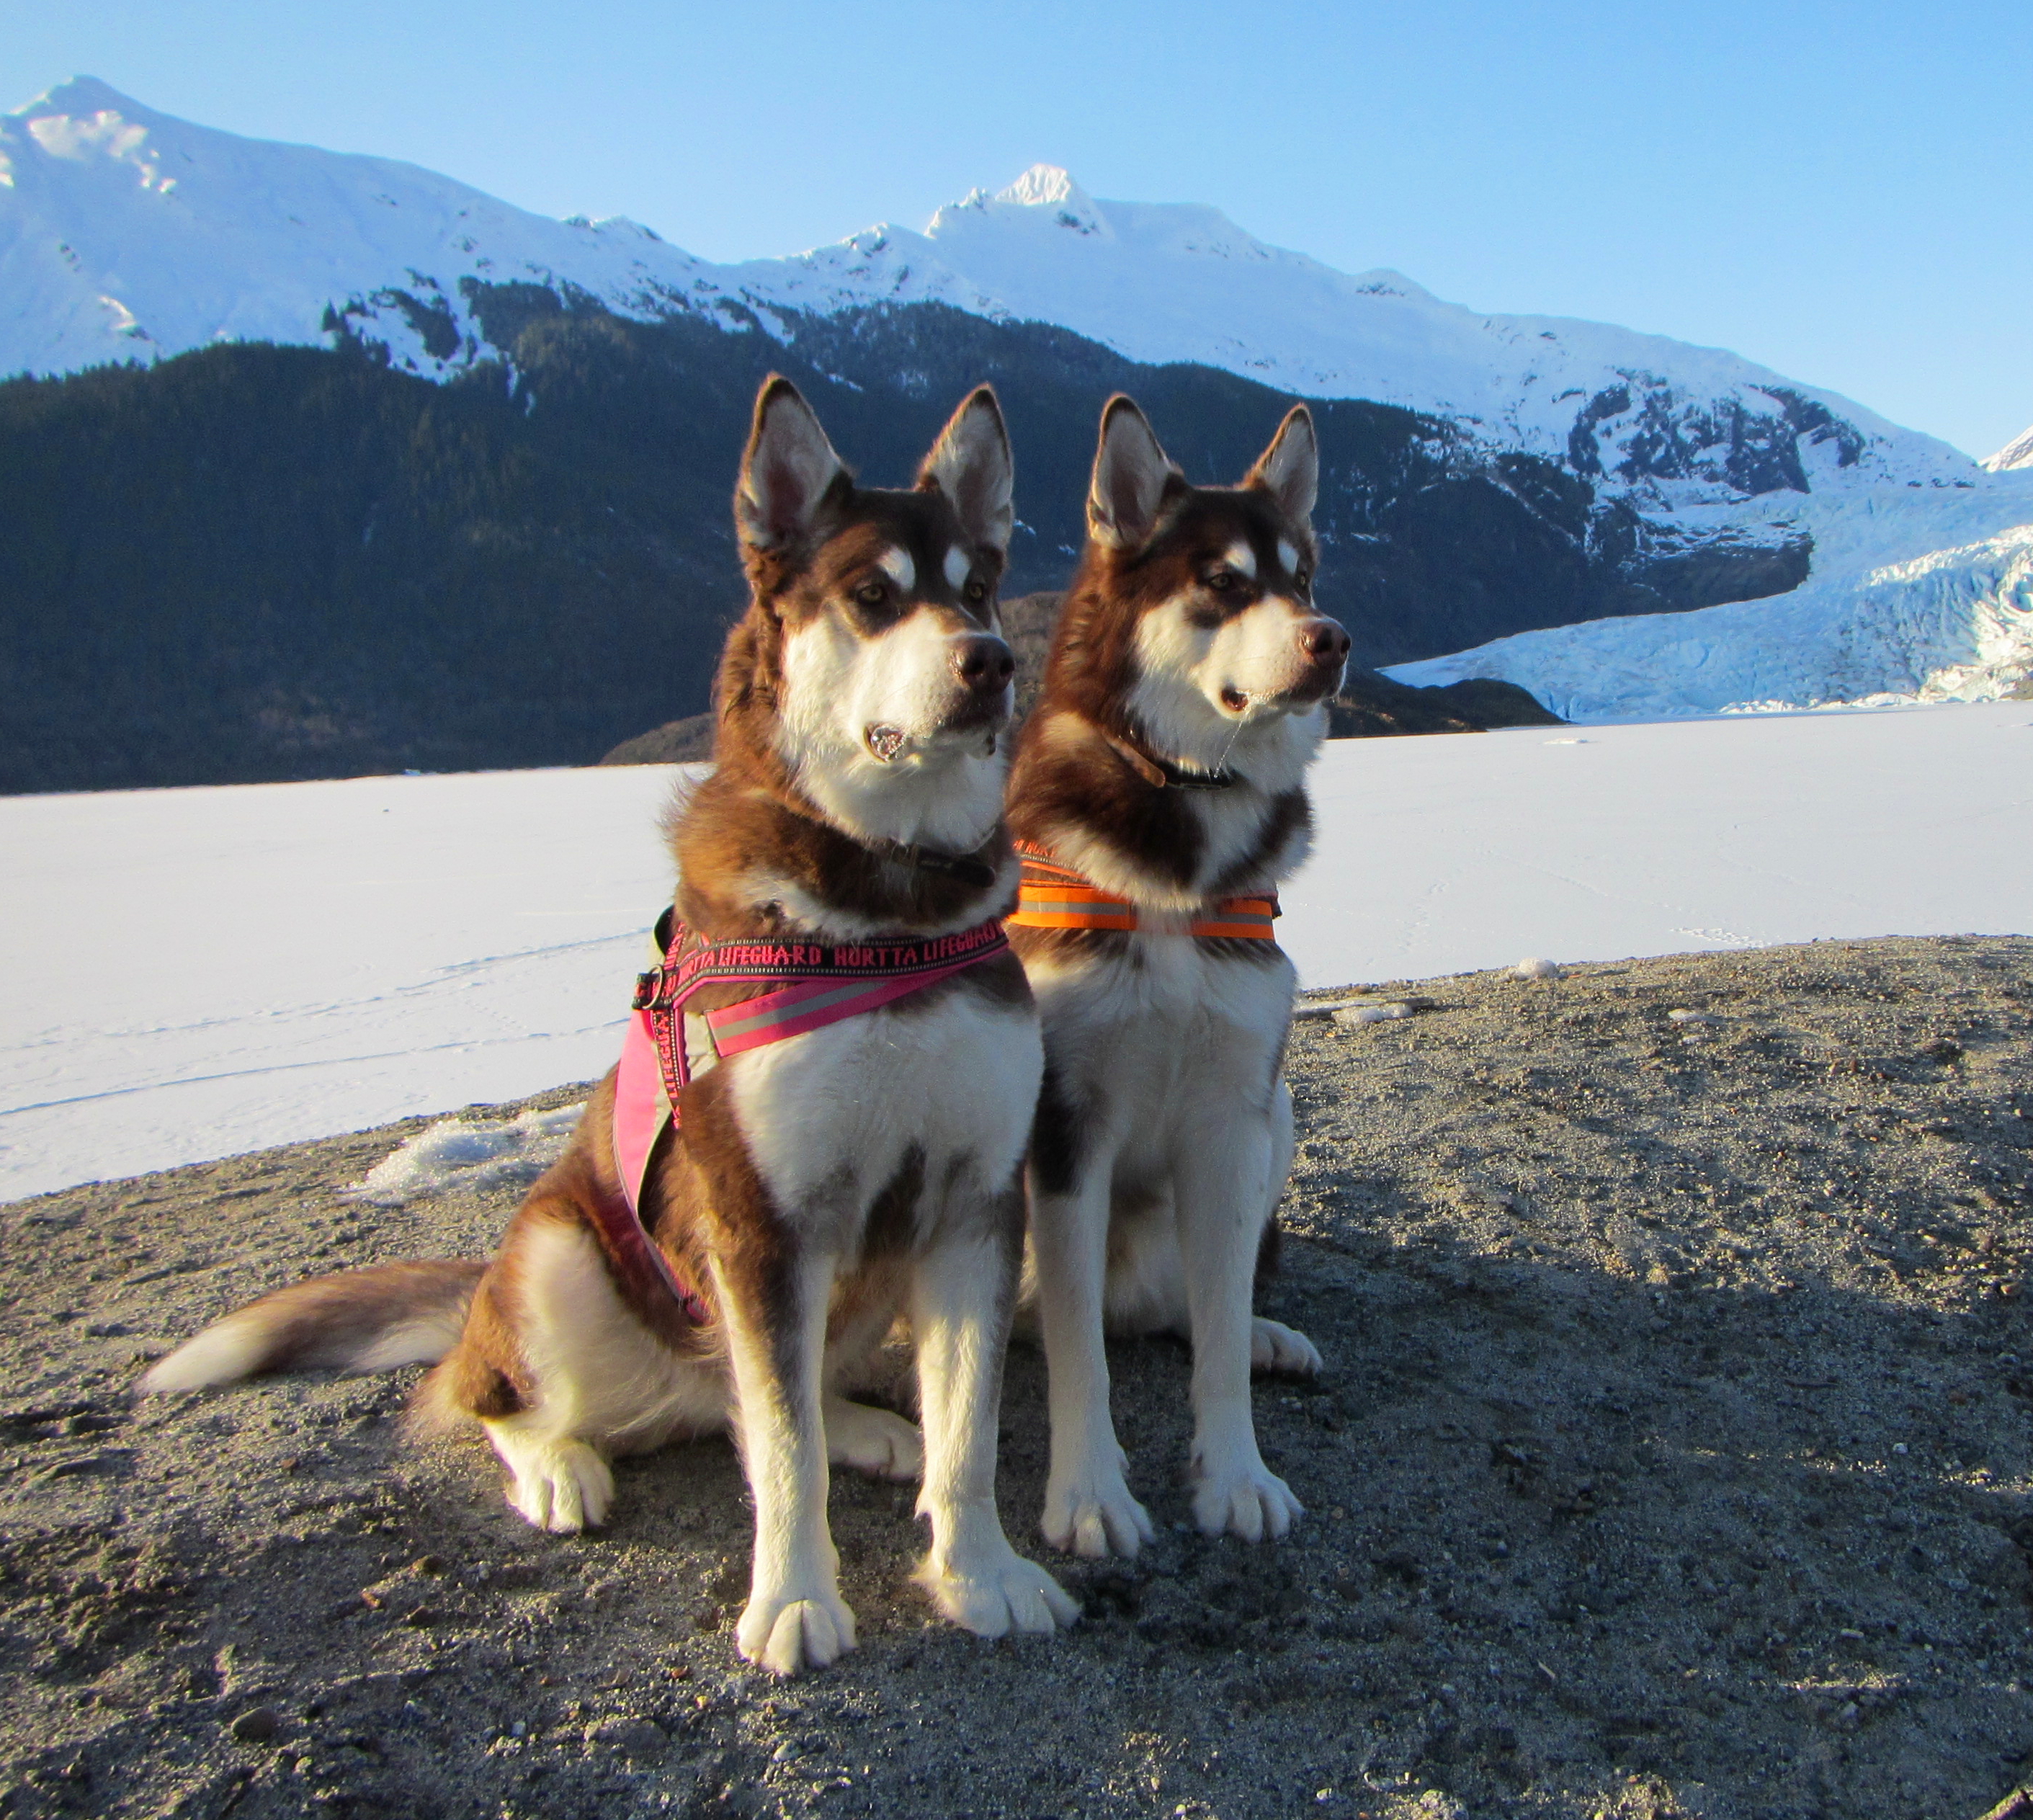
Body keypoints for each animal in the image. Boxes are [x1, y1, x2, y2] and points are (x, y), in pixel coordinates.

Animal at [143, 374, 1081, 1675]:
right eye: (874, 594)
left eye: (980, 583)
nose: (989, 661)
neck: (885, 907)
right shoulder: (757, 1219)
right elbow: (779, 1452)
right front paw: (795, 1598)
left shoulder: (971, 1201)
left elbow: (965, 1431)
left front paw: (978, 1571)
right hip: (557, 1255)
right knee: (512, 1395)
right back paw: (557, 1466)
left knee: (753, 1392)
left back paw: (862, 1423)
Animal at [1004, 398, 1349, 1561]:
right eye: (1222, 581)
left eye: (1303, 577)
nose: (1332, 638)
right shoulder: (1064, 1126)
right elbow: (1077, 1348)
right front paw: (1086, 1494)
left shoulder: (1227, 1117)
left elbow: (1214, 1332)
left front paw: (1236, 1475)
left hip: (1277, 1110)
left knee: (1201, 1304)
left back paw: (1265, 1333)